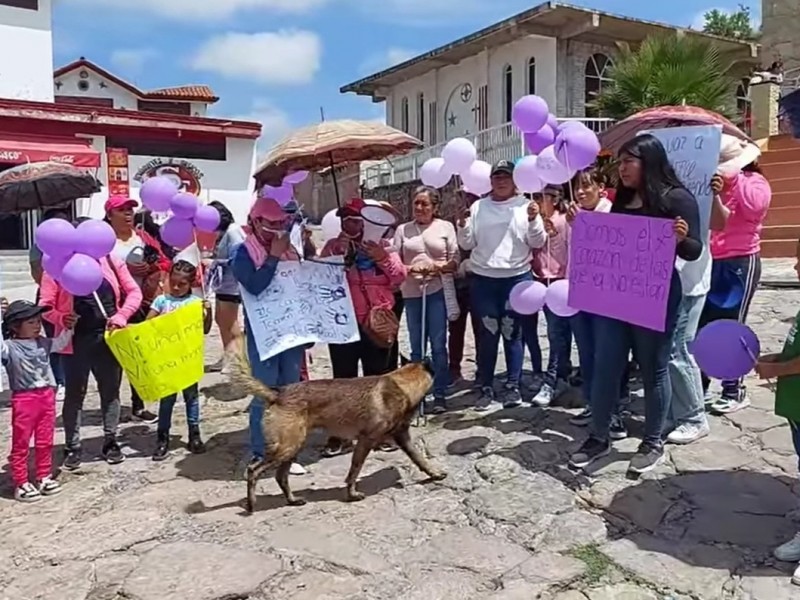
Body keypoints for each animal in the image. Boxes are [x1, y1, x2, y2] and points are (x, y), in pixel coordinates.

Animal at [228, 356, 446, 510]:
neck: (401, 384)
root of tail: (277, 393)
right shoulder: (366, 441)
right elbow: (354, 470)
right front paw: (352, 494)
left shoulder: (402, 438)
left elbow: (419, 459)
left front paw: (434, 473)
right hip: (286, 448)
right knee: (253, 470)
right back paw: (251, 504)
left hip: (292, 448)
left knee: (281, 477)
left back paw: (292, 500)